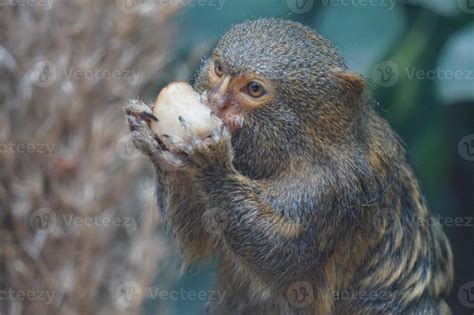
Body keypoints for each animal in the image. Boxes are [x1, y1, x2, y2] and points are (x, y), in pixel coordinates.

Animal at [125, 19, 452, 315]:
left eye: (254, 89)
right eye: (218, 70)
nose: (216, 101)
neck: (299, 149)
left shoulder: (335, 186)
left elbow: (285, 259)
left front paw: (210, 158)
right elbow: (202, 234)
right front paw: (156, 145)